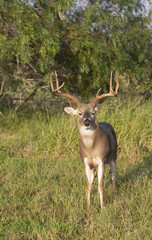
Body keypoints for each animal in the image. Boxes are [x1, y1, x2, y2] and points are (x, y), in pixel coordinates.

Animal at [50, 71, 119, 210]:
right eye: (80, 113)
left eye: (93, 113)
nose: (87, 121)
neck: (91, 149)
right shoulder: (86, 162)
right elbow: (88, 185)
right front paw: (88, 207)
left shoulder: (101, 160)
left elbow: (100, 186)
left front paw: (103, 208)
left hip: (113, 157)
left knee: (113, 176)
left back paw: (115, 193)